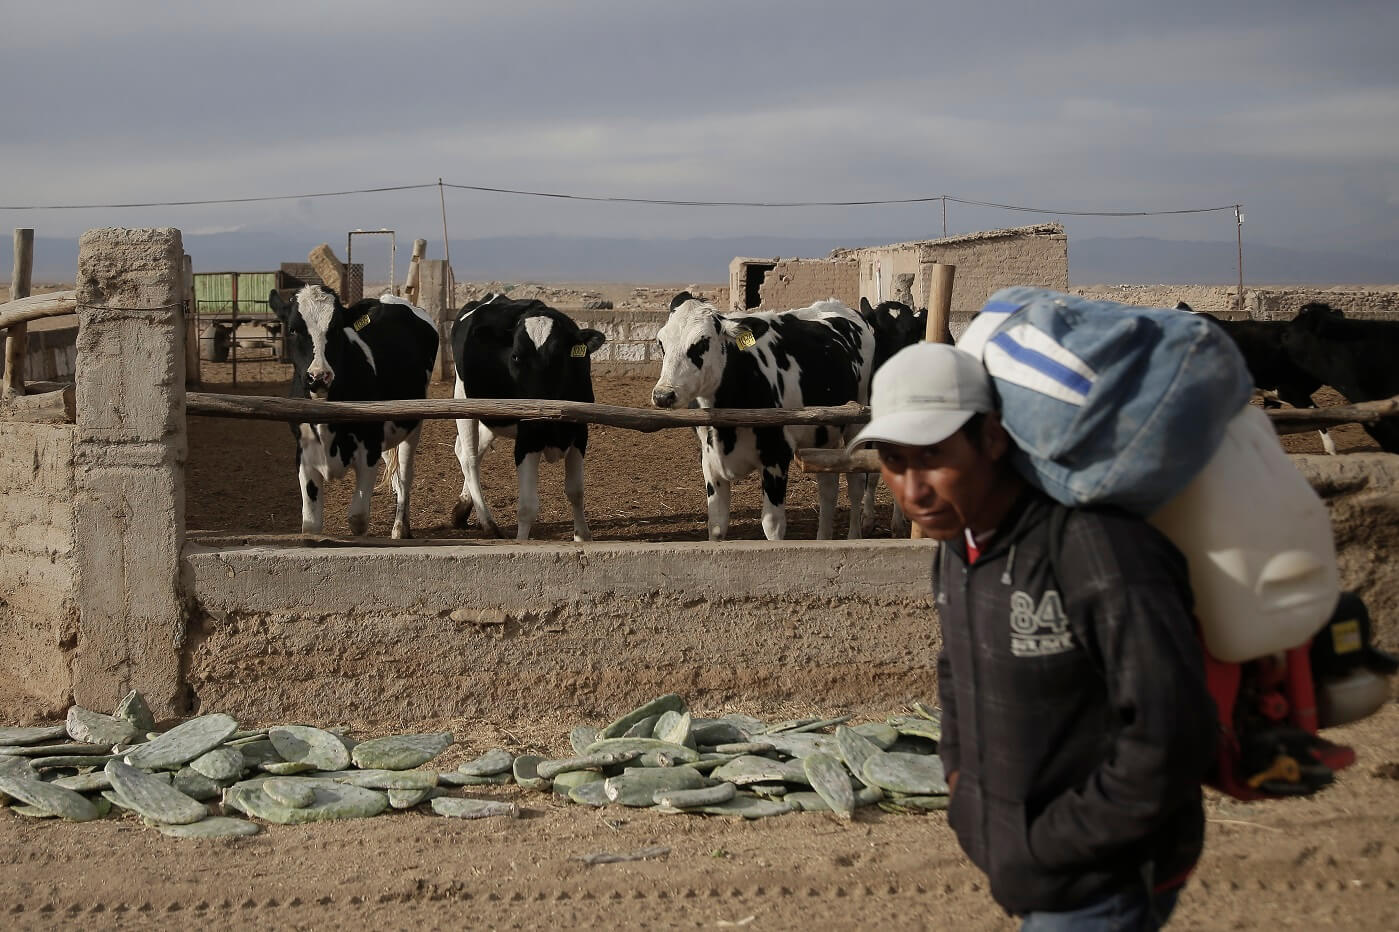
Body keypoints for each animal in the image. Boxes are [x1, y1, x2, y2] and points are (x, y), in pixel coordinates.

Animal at [264, 282, 433, 537]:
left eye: (335, 329)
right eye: (293, 329)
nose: (319, 376)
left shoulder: (369, 451)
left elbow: (358, 518)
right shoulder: (304, 455)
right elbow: (311, 524)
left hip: (413, 423)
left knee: (404, 476)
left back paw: (399, 528)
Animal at [447, 291, 601, 537]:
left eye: (559, 356)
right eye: (516, 357)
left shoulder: (579, 431)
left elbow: (576, 492)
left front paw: (583, 537)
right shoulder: (527, 439)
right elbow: (527, 506)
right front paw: (522, 541)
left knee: (469, 451)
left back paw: (462, 510)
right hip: (463, 399)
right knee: (469, 458)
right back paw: (488, 523)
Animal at [646, 288, 867, 537]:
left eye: (702, 343)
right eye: (661, 342)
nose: (663, 395)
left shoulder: (776, 457)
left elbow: (772, 525)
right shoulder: (708, 460)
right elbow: (717, 524)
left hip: (857, 421)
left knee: (857, 482)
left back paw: (855, 535)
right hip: (824, 434)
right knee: (828, 486)